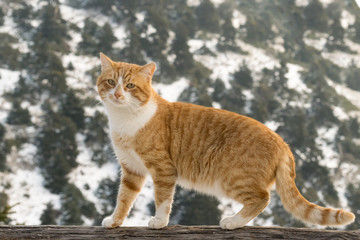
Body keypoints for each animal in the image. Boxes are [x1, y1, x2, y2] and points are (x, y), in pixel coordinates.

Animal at [95, 53, 354, 231]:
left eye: (130, 86)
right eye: (111, 82)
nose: (117, 94)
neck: (125, 120)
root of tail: (283, 143)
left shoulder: (163, 168)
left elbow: (163, 199)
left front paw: (159, 221)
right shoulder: (132, 170)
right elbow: (124, 198)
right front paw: (115, 221)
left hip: (232, 179)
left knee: (263, 198)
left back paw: (233, 222)